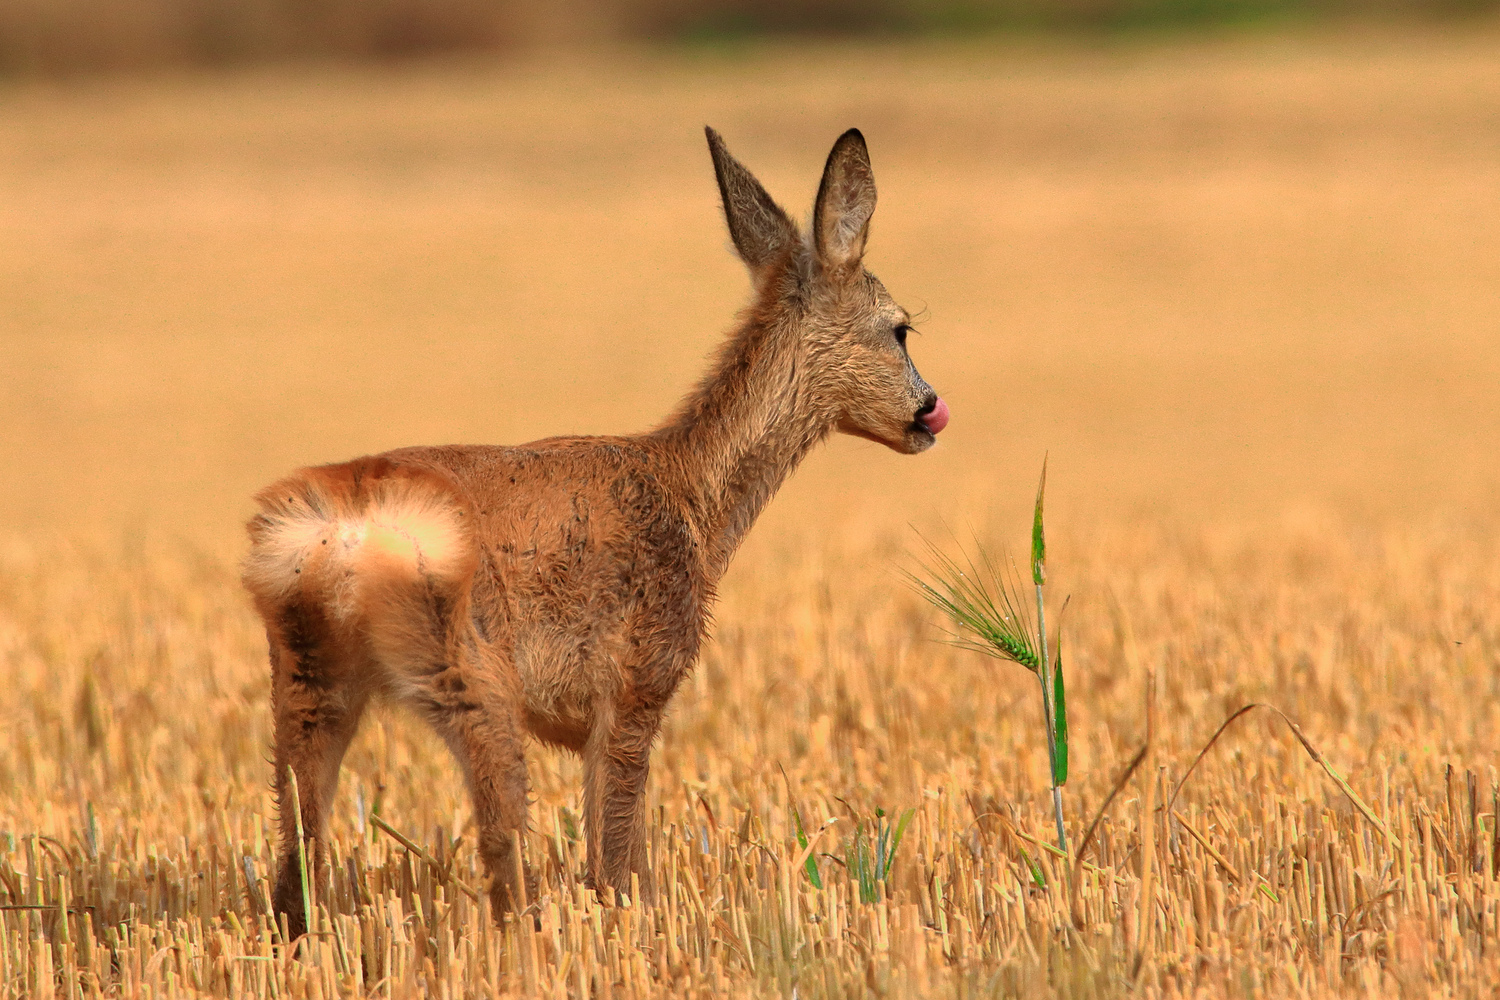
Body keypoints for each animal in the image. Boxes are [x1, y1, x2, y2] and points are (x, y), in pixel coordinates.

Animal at [243, 127, 948, 941]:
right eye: (901, 328)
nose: (929, 409)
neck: (693, 499)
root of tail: (339, 536)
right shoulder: (637, 678)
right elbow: (616, 862)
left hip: (305, 679)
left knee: (296, 855)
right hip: (470, 667)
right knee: (499, 847)